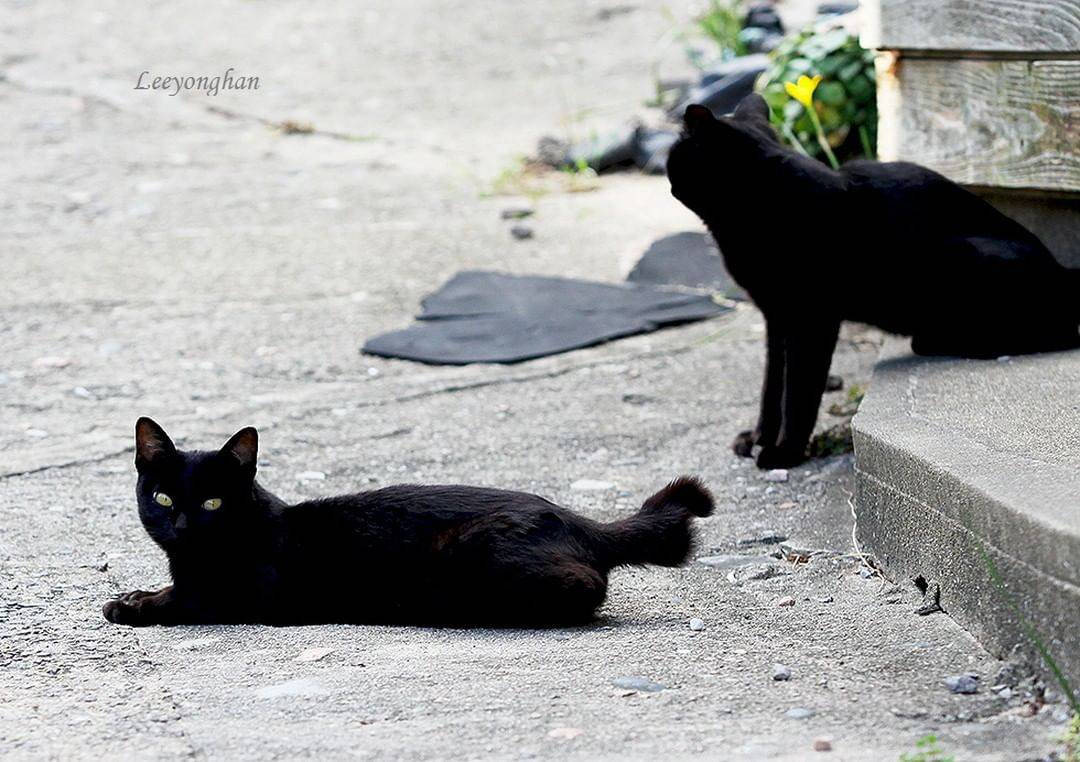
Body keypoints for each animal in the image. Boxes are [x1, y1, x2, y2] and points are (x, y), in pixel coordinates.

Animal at [99, 418, 708, 626]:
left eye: (212, 505)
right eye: (162, 497)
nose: (181, 527)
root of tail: (577, 520)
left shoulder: (243, 596)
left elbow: (186, 602)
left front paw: (131, 606)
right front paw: (137, 592)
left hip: (472, 553)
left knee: (584, 589)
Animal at [665, 91, 1080, 466]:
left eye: (673, 157)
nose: (668, 182)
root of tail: (1062, 271)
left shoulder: (811, 320)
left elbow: (797, 391)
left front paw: (784, 452)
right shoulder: (776, 319)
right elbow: (771, 388)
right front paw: (757, 438)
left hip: (965, 256)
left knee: (1055, 334)